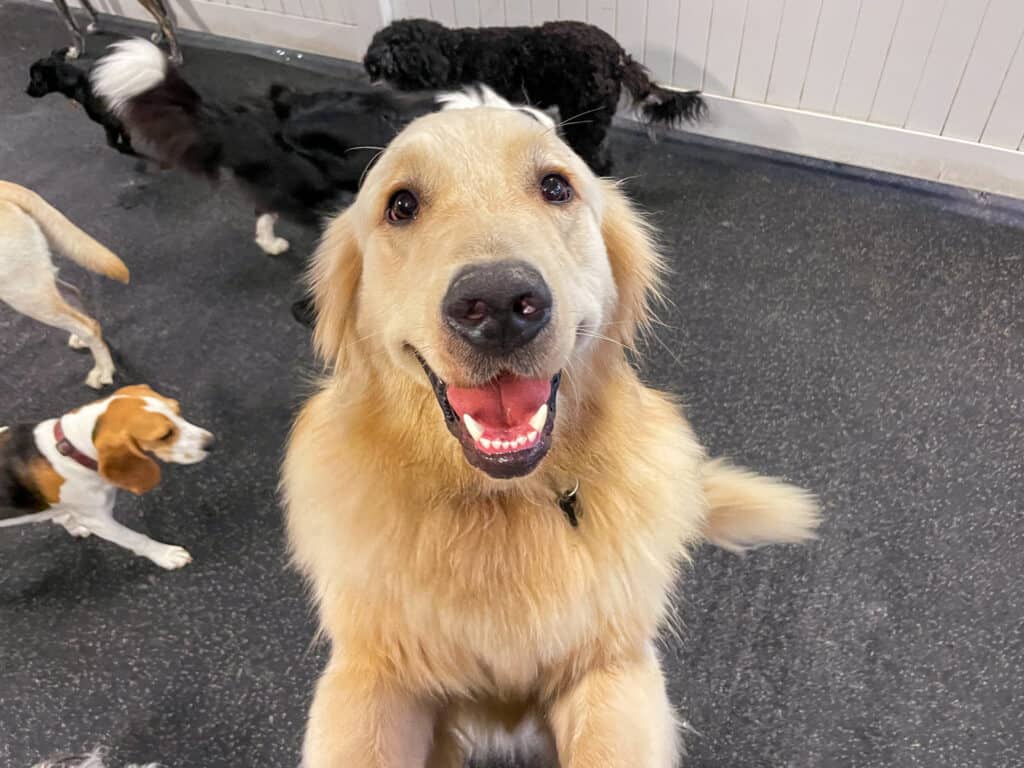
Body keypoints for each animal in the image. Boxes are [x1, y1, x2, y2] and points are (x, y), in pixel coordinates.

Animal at [0, 387, 211, 569]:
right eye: (165, 435)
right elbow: (135, 538)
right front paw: (165, 554)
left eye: (178, 411)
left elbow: (63, 516)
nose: (212, 443)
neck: (71, 449)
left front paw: (72, 525)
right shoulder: (99, 520)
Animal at [364, 18, 708, 176]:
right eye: (376, 67)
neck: (455, 55)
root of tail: (618, 55)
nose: (375, 95)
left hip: (584, 118)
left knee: (596, 160)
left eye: (398, 67)